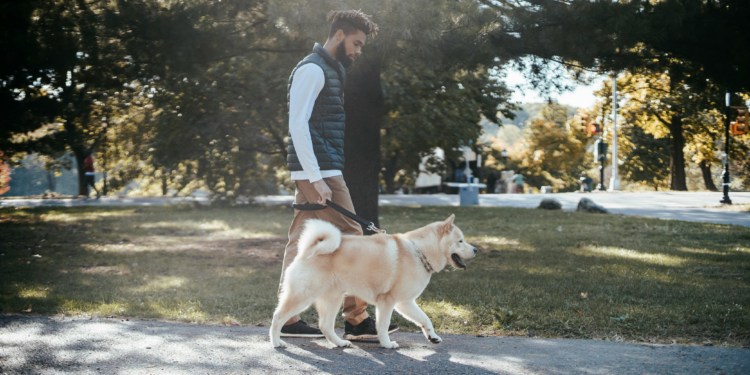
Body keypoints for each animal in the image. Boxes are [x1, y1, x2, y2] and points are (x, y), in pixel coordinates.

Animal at [270, 214, 478, 350]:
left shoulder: (405, 303)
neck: (420, 252)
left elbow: (425, 319)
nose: (475, 250)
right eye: (460, 241)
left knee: (325, 326)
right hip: (303, 296)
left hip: (332, 299)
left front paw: (432, 336)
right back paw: (276, 341)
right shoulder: (388, 303)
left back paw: (339, 343)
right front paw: (386, 344)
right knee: (278, 317)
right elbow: (383, 327)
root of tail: (309, 249)